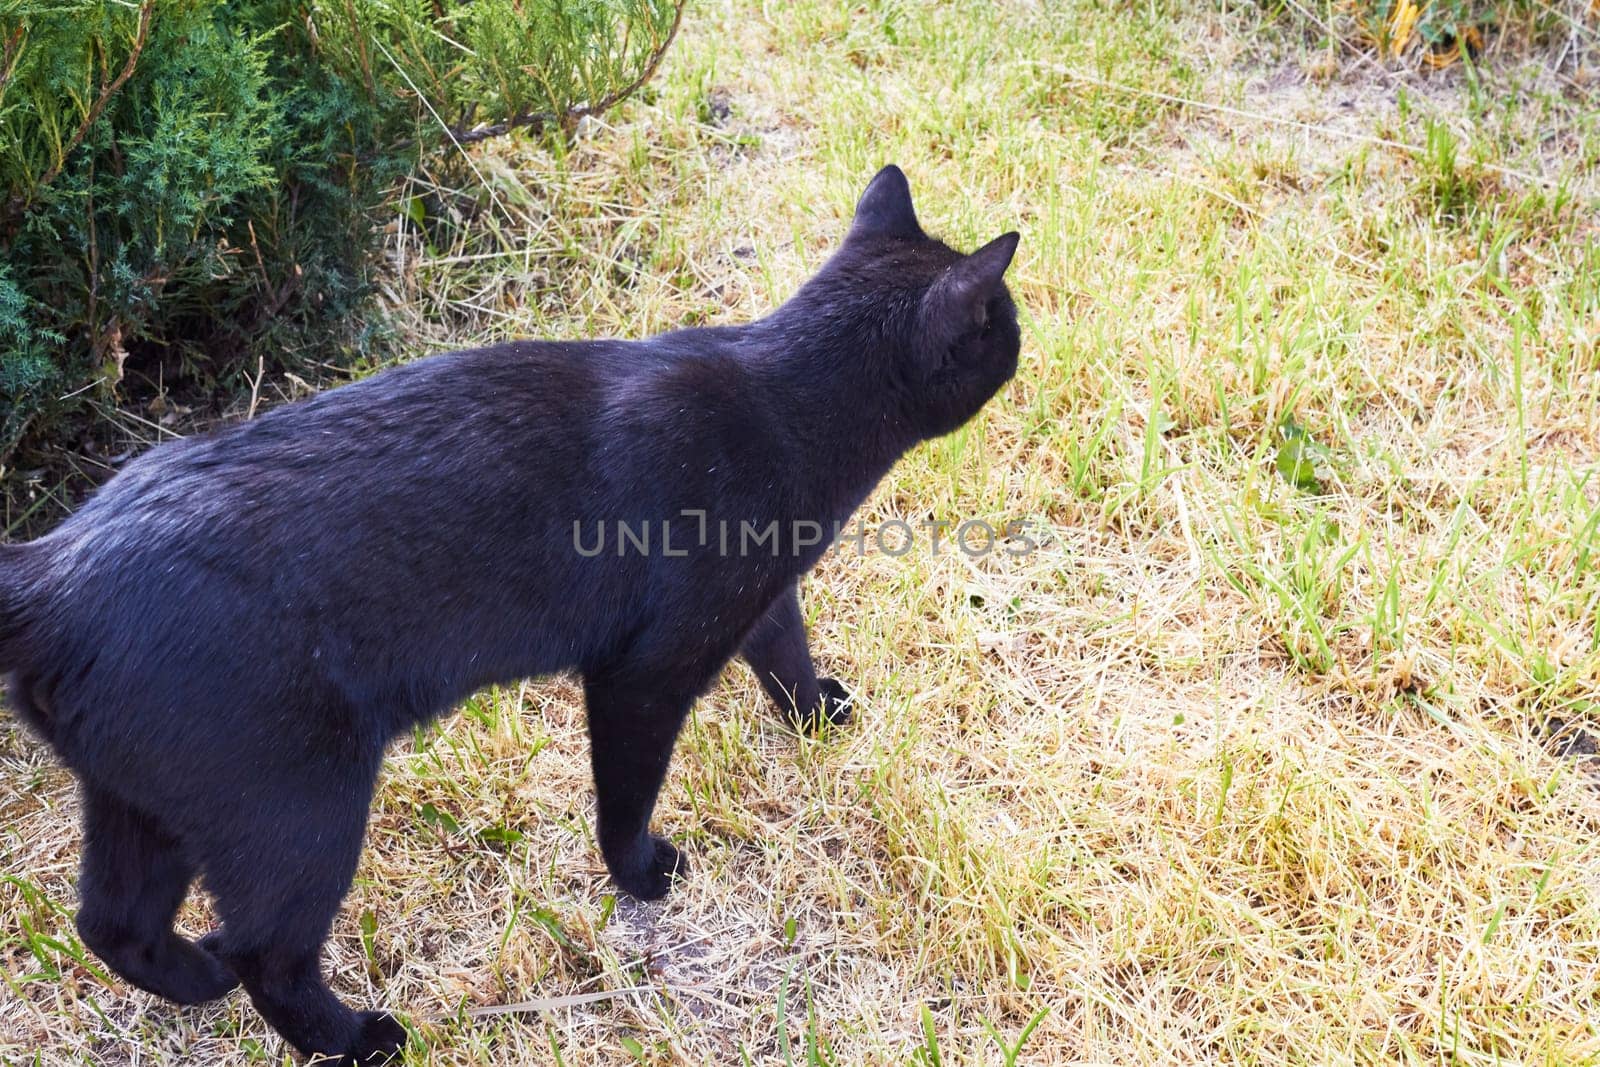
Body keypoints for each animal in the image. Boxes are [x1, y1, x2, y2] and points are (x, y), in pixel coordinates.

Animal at [0, 167, 1017, 1067]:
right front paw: (641, 872)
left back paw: (199, 977)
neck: (783, 399)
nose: (1023, 337)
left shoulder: (757, 598)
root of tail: (50, 570)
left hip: (146, 799)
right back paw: (356, 1039)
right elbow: (627, 788)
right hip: (298, 806)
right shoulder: (644, 671)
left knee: (113, 925)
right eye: (1000, 322)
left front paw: (818, 715)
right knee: (268, 952)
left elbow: (787, 654)